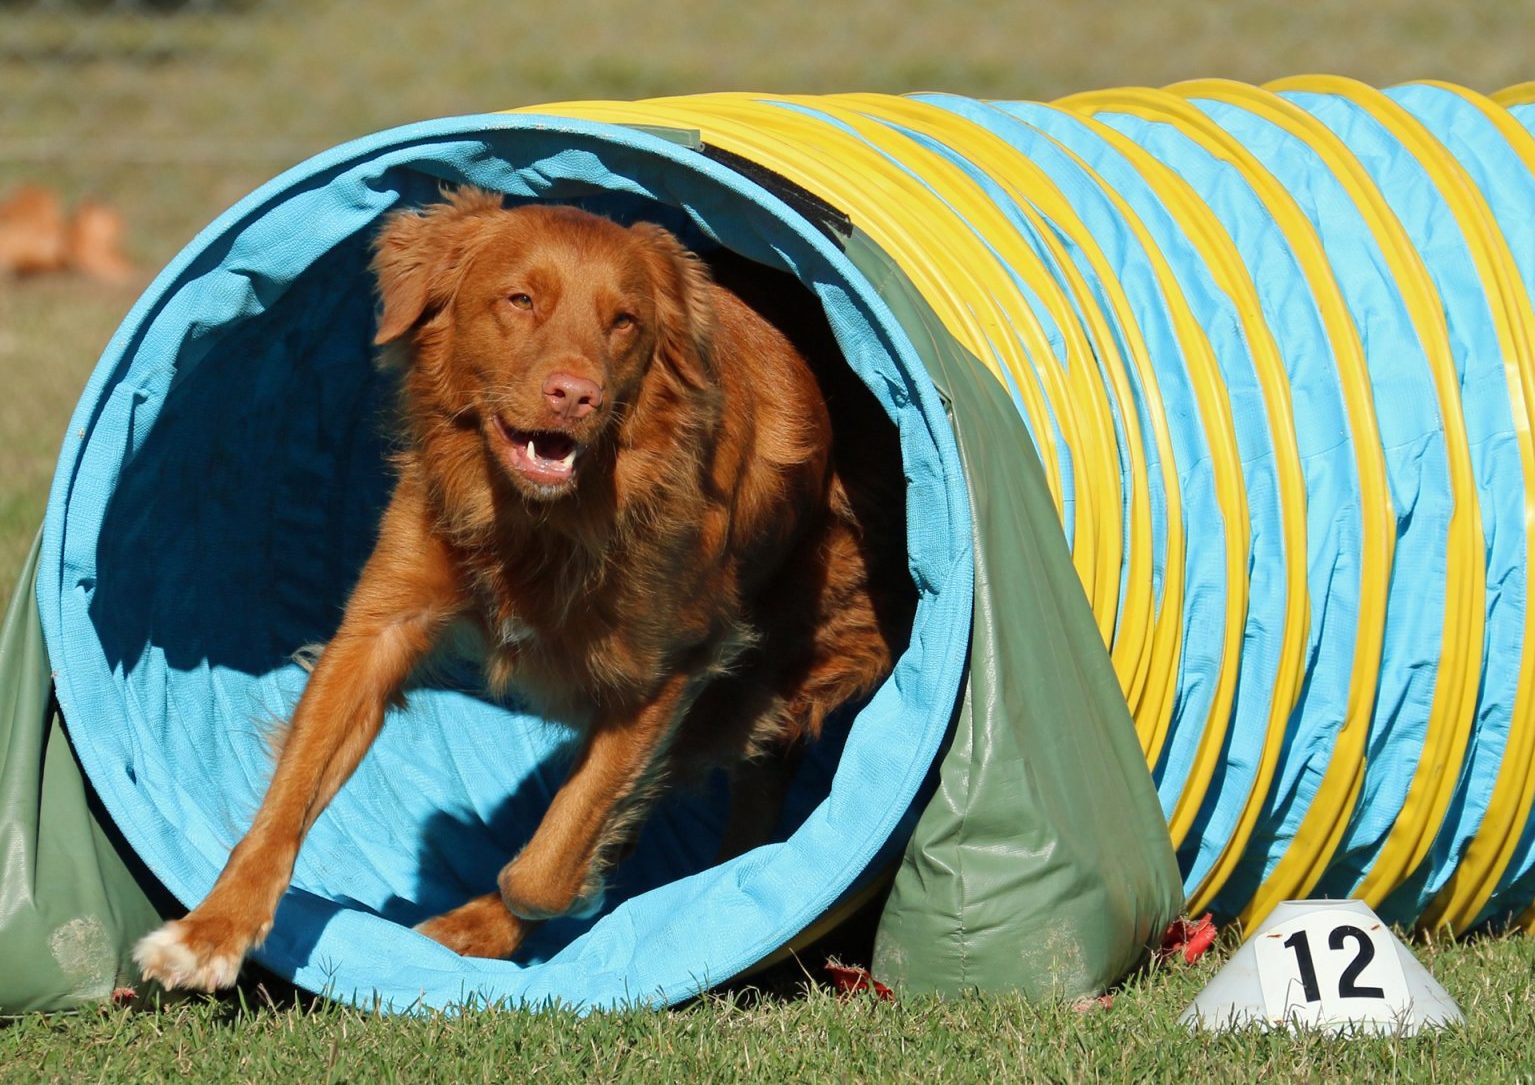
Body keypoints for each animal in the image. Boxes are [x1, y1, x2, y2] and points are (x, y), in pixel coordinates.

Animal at [132, 188, 908, 994]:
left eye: (624, 321)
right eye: (521, 299)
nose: (576, 395)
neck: (538, 523)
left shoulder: (670, 669)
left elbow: (549, 860)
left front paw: (516, 913)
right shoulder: (380, 626)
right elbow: (287, 798)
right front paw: (211, 931)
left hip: (759, 676)